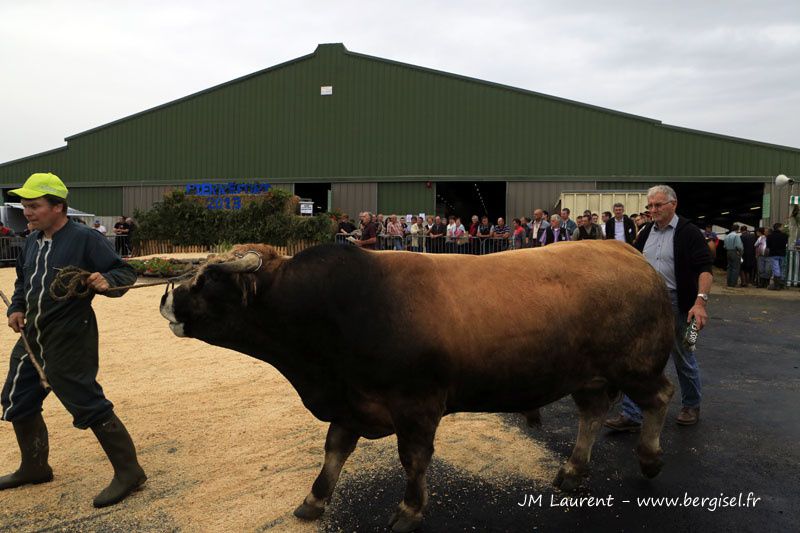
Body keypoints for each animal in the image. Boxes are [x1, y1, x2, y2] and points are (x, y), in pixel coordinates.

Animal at [161, 241, 676, 532]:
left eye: (209, 278)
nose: (165, 298)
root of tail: (629, 253)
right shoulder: (350, 401)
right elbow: (334, 450)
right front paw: (314, 499)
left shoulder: (416, 403)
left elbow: (413, 459)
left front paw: (409, 511)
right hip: (587, 375)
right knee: (591, 413)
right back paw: (573, 469)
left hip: (637, 366)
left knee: (660, 397)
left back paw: (650, 459)